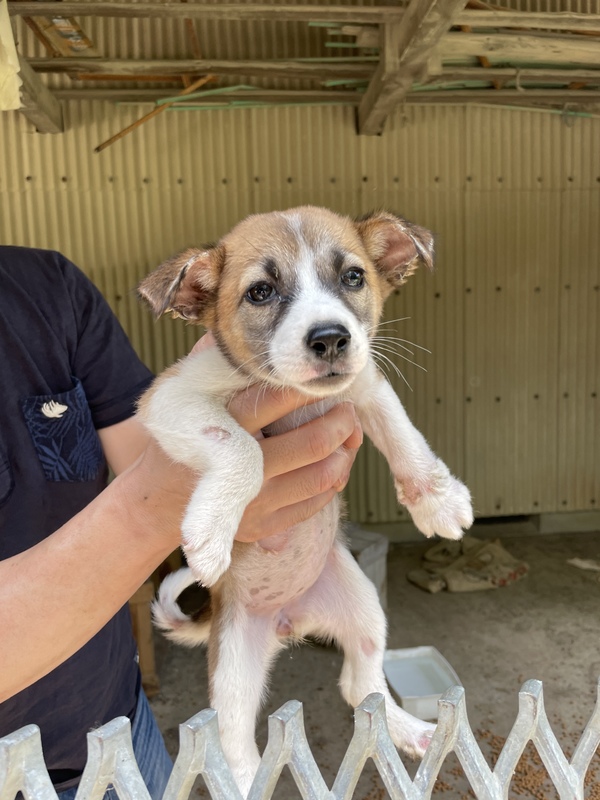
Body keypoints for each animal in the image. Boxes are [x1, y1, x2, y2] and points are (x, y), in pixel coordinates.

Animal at [137, 206, 473, 796]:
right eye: (261, 292)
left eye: (354, 277)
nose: (331, 338)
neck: (298, 399)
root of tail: (289, 622)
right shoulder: (169, 398)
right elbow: (242, 447)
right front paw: (209, 533)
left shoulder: (366, 384)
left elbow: (404, 435)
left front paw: (436, 500)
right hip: (233, 668)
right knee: (231, 738)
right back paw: (248, 779)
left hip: (366, 610)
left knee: (361, 689)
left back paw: (409, 730)